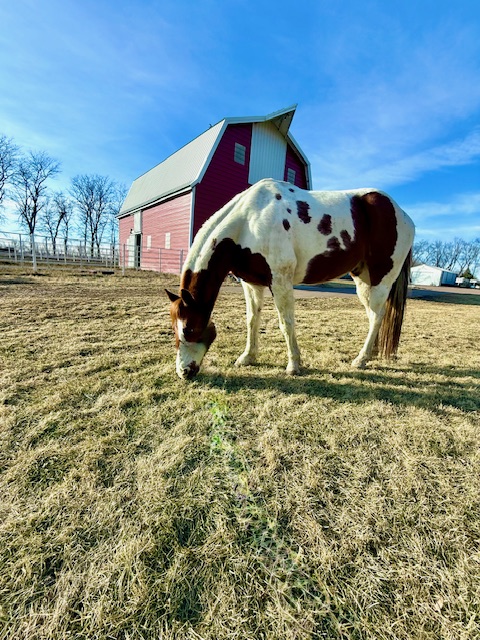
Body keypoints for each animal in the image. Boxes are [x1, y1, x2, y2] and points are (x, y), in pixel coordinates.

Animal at [166, 178, 414, 379]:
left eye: (188, 329)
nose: (183, 372)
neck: (249, 220)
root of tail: (402, 214)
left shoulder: (280, 281)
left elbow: (286, 323)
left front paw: (294, 365)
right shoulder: (252, 284)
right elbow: (252, 320)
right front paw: (247, 357)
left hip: (380, 281)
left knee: (377, 316)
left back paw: (361, 359)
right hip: (363, 280)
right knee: (375, 317)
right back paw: (370, 354)